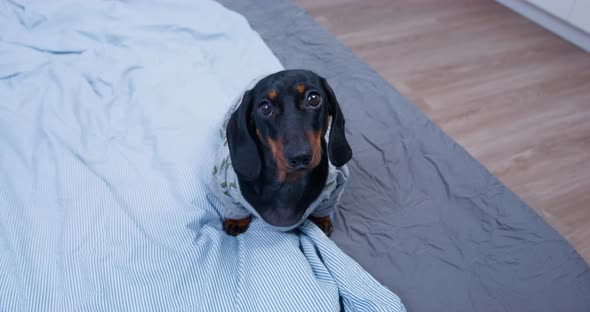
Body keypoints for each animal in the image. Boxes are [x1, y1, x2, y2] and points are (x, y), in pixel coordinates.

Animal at [213, 69, 352, 236]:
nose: (300, 157)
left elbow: (323, 210)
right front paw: (236, 221)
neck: (289, 181)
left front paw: (322, 221)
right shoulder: (225, 187)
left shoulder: (335, 186)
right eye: (265, 108)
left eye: (314, 98)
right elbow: (234, 207)